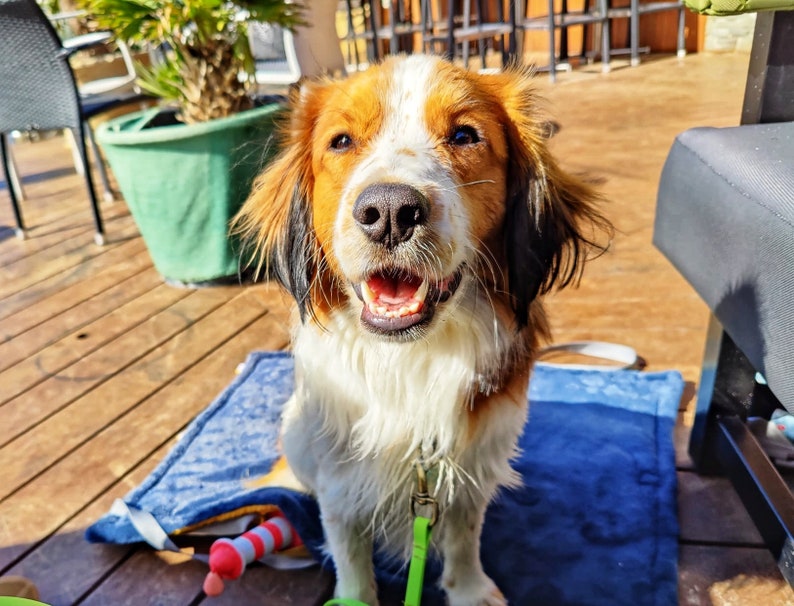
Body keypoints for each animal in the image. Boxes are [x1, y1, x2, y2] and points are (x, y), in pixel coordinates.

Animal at [234, 54, 608, 604]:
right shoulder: (340, 487)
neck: (410, 358)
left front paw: (469, 589)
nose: (390, 211)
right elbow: (351, 560)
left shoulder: (469, 471)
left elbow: (464, 536)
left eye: (465, 135)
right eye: (340, 142)